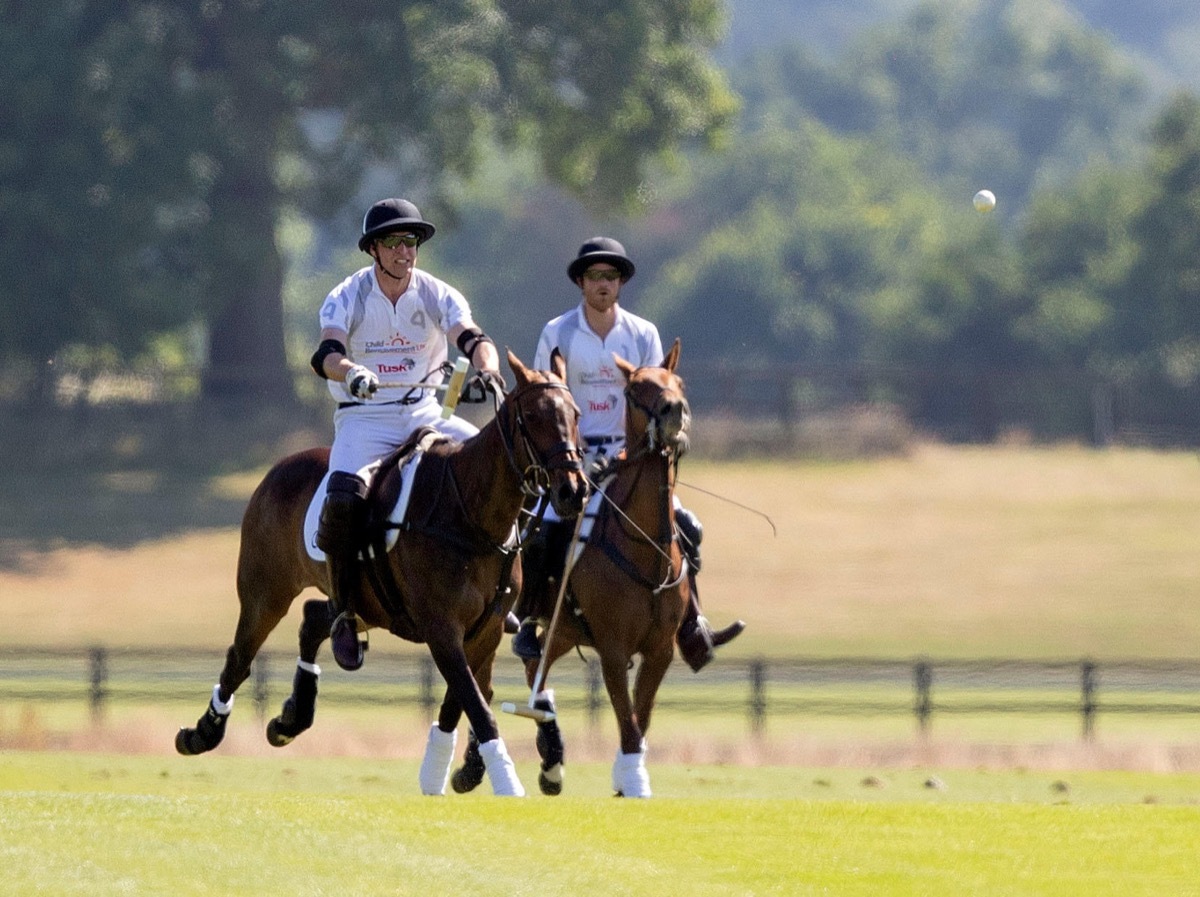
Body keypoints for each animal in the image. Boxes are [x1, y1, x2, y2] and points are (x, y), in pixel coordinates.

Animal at [176, 350, 585, 801]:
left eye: (575, 414)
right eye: (531, 416)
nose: (573, 489)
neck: (471, 514)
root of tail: (278, 467)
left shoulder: (487, 629)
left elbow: (462, 698)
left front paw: (440, 774)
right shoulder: (441, 626)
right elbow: (474, 701)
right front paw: (506, 782)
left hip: (366, 604)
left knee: (316, 617)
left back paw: (293, 717)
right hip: (265, 590)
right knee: (241, 655)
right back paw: (203, 732)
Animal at [451, 338, 696, 801]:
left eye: (678, 382)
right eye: (634, 390)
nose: (674, 411)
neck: (644, 545)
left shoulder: (659, 650)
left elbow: (639, 718)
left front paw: (624, 776)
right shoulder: (614, 648)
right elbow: (628, 721)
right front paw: (634, 782)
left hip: (562, 630)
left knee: (532, 674)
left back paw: (549, 761)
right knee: (491, 681)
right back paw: (476, 766)